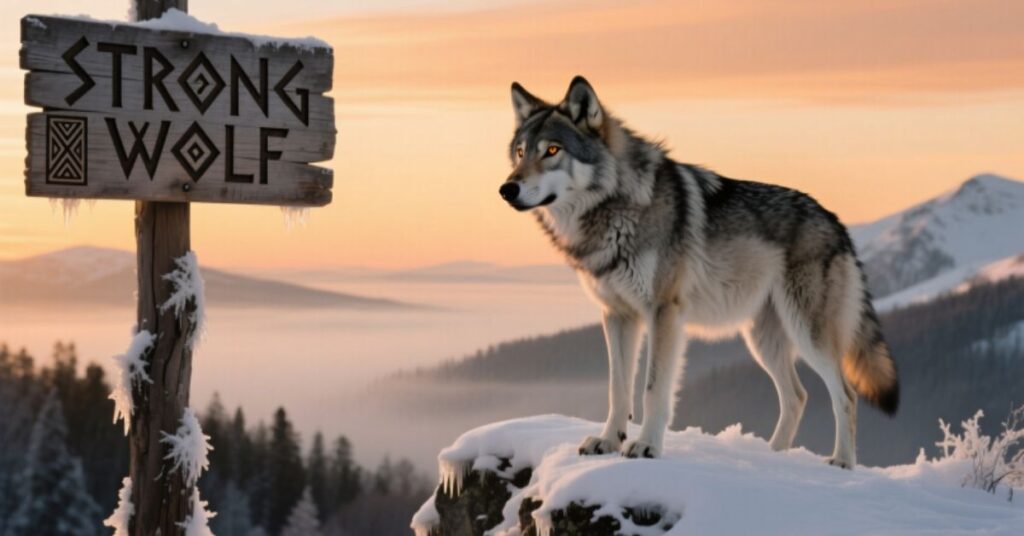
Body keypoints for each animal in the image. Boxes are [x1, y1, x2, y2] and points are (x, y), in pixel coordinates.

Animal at [499, 76, 899, 468]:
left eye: (553, 150)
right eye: (520, 152)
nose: (507, 188)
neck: (616, 207)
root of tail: (837, 223)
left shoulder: (663, 313)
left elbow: (653, 389)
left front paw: (647, 446)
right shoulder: (617, 315)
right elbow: (618, 389)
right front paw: (608, 441)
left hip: (806, 333)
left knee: (845, 394)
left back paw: (842, 462)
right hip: (763, 340)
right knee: (797, 396)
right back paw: (772, 457)